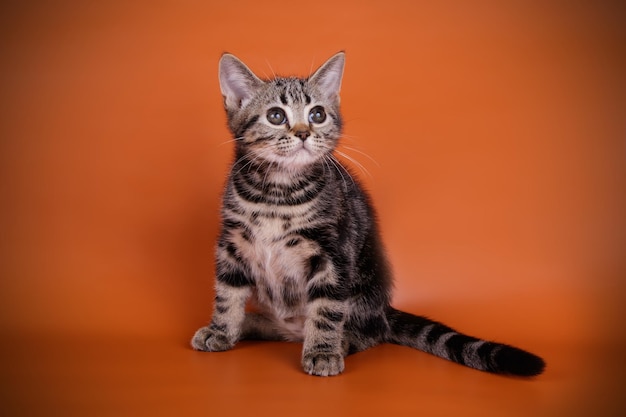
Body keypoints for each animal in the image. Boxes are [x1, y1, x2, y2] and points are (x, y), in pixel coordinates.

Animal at [191, 52, 544, 376]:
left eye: (317, 114)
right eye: (276, 115)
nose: (304, 133)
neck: (277, 193)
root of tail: (383, 309)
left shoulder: (334, 250)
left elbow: (327, 308)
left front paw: (323, 351)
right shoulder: (232, 244)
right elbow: (227, 294)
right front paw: (222, 329)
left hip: (365, 290)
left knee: (372, 332)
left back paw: (339, 341)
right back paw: (250, 325)